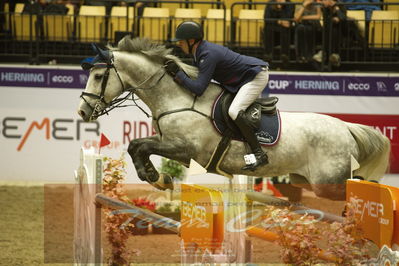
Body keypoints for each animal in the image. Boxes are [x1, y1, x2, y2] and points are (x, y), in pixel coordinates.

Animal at [77, 37, 390, 200]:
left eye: (99, 76)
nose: (82, 112)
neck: (178, 100)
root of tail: (346, 127)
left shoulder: (186, 149)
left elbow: (141, 146)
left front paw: (156, 177)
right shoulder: (171, 144)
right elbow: (136, 145)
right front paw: (158, 178)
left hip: (329, 182)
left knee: (360, 188)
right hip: (304, 179)